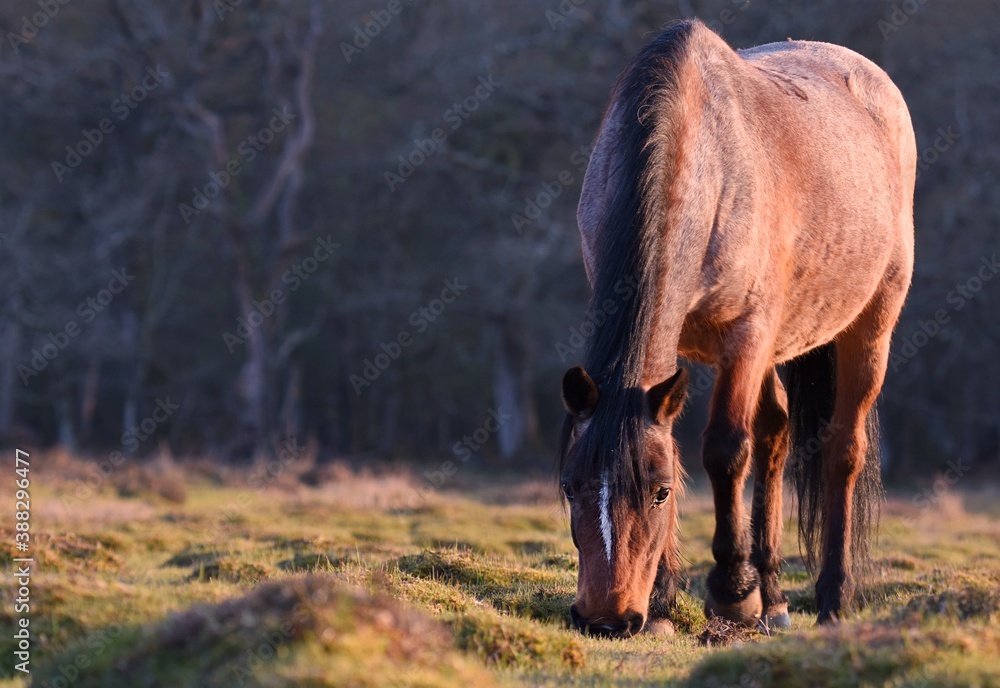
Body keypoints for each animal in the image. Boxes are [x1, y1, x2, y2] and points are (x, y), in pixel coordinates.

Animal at [558, 19, 915, 637]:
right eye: (570, 486)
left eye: (659, 493)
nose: (605, 619)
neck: (703, 160)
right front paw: (664, 600)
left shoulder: (746, 336)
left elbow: (725, 449)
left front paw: (728, 593)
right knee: (776, 432)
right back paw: (772, 596)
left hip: (870, 328)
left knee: (842, 450)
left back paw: (830, 597)